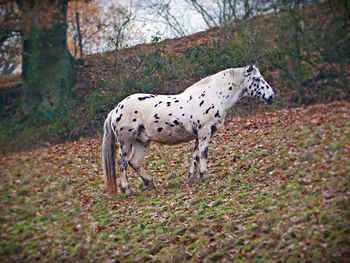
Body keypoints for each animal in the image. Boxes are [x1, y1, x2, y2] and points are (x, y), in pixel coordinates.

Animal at [102, 63, 274, 196]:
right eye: (257, 79)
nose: (271, 96)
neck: (213, 94)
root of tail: (116, 109)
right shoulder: (205, 131)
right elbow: (203, 152)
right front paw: (205, 174)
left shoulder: (200, 134)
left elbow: (196, 154)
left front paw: (193, 176)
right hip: (126, 142)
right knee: (122, 162)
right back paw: (127, 190)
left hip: (142, 141)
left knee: (134, 162)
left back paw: (150, 183)